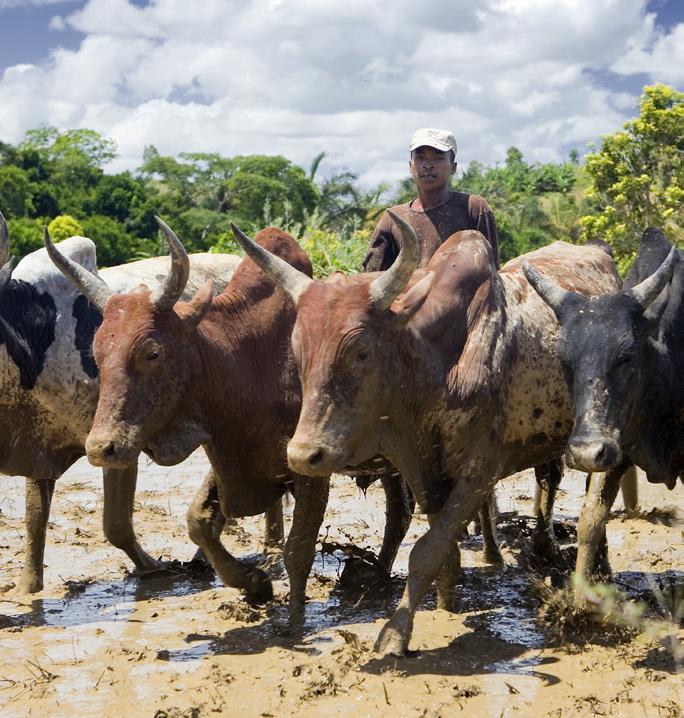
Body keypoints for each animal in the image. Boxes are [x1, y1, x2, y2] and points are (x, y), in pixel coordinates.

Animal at [0, 215, 240, 596]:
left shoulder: (115, 443)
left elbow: (115, 525)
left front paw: (155, 569)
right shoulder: (41, 448)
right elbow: (35, 522)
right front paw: (27, 589)